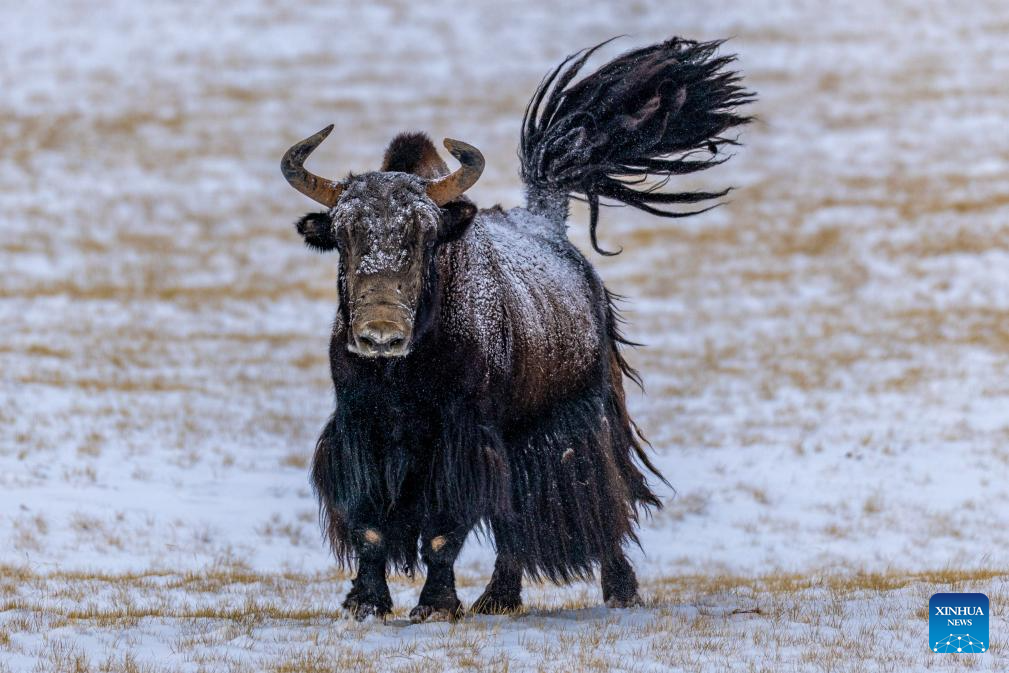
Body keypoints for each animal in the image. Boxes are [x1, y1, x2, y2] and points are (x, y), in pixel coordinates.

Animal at [281, 37, 752, 622]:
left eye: (425, 235)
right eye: (343, 235)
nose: (381, 335)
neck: (404, 372)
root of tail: (551, 224)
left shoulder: (463, 438)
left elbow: (444, 531)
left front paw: (436, 606)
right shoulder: (360, 430)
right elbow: (370, 526)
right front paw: (366, 604)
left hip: (582, 418)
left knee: (600, 503)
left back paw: (616, 590)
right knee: (513, 520)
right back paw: (497, 598)